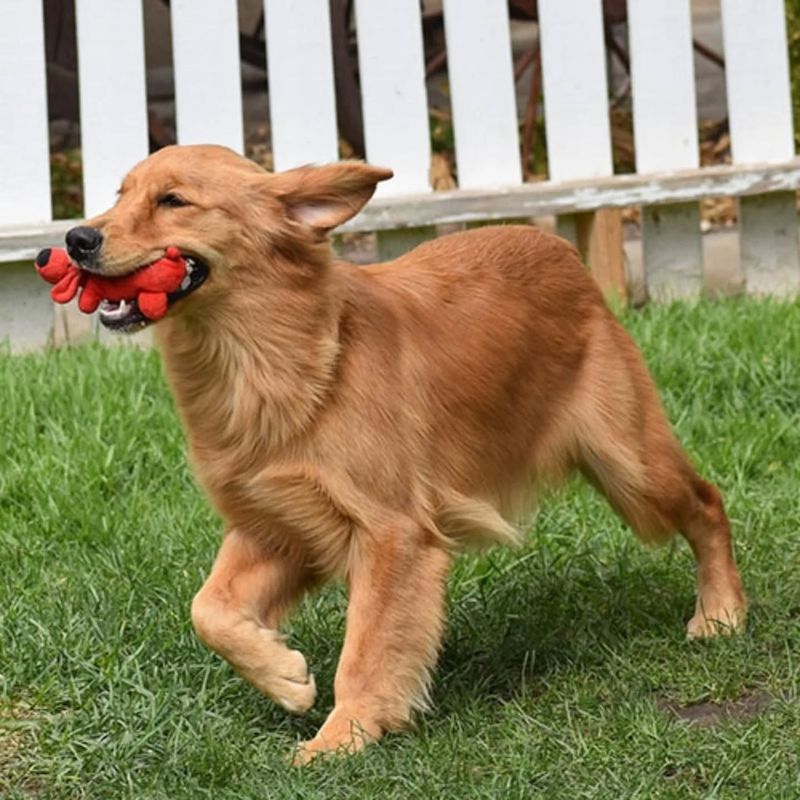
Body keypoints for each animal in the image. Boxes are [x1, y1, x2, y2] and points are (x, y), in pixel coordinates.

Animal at [65, 144, 748, 764]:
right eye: (121, 194)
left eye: (173, 201)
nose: (75, 238)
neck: (274, 354)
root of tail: (557, 251)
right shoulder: (277, 526)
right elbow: (208, 610)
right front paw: (285, 677)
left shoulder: (391, 535)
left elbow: (366, 649)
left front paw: (344, 737)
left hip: (633, 469)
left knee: (708, 503)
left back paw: (721, 613)